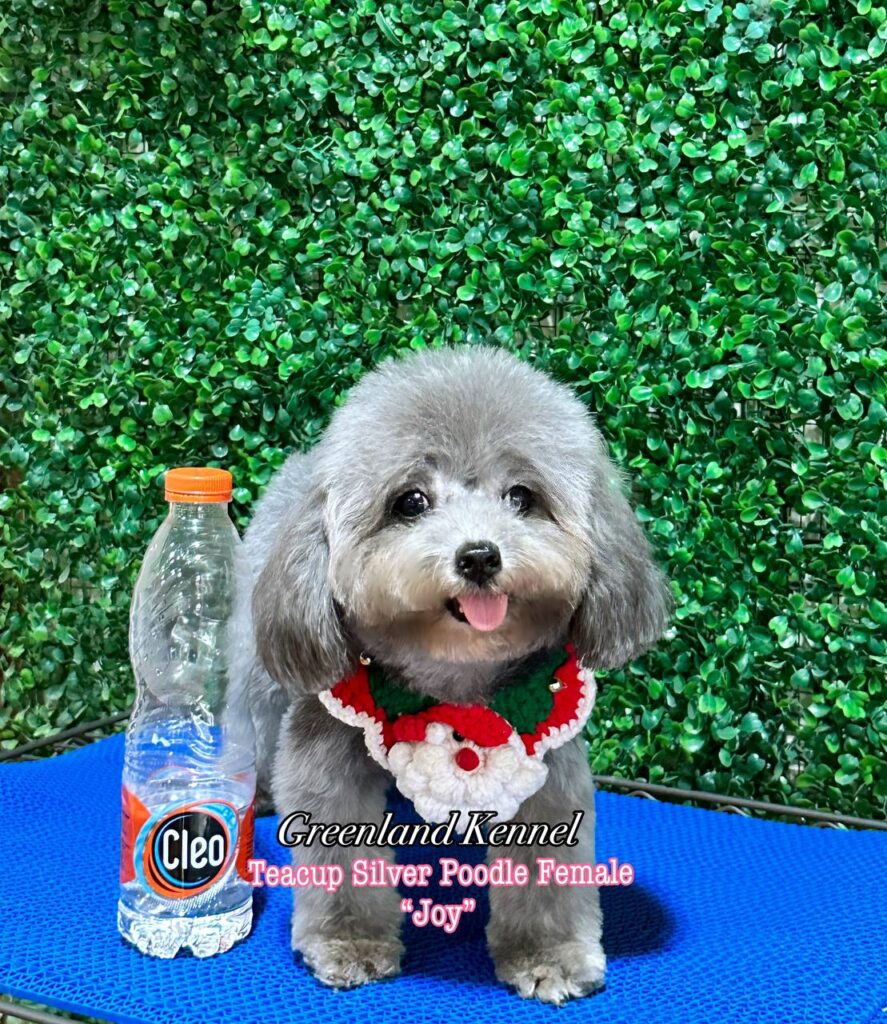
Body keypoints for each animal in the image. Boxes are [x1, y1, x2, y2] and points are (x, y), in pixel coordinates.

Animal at [230, 346, 670, 1003]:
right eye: (410, 501)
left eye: (522, 496)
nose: (480, 555)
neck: (454, 679)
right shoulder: (325, 759)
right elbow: (341, 866)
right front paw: (348, 942)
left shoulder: (548, 769)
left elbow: (543, 875)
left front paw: (548, 955)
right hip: (260, 676)